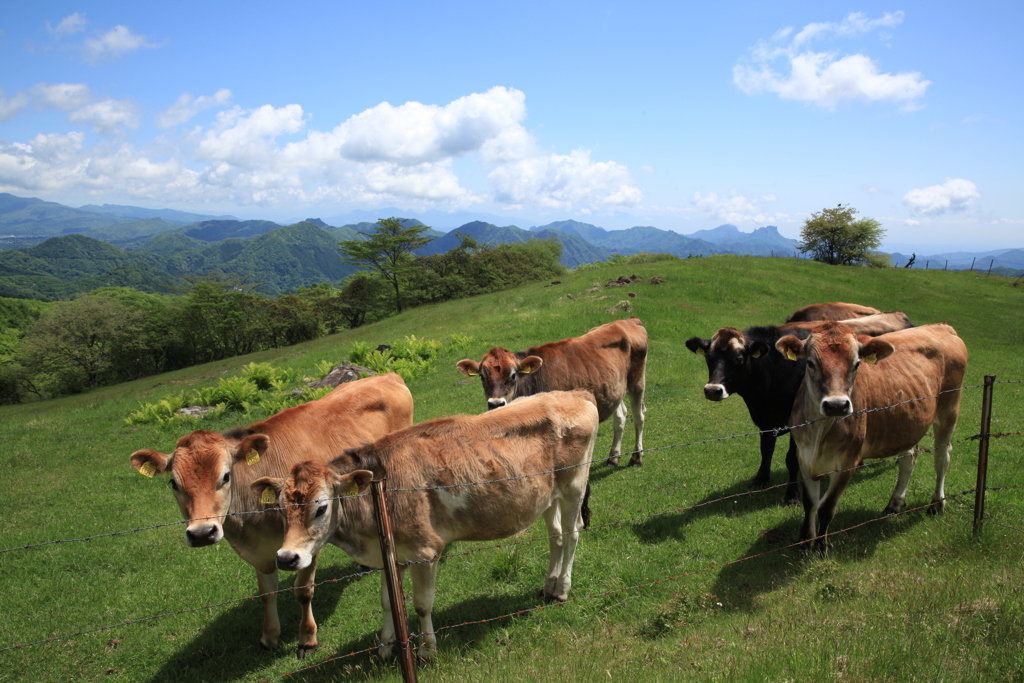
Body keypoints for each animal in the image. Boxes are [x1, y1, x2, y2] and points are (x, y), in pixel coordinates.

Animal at [129, 374, 411, 655]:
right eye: (173, 483)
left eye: (226, 476)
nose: (201, 533)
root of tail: (385, 376)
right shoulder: (261, 549)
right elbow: (266, 592)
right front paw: (269, 636)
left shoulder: (310, 539)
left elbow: (303, 590)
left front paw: (307, 638)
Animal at [250, 389, 598, 663]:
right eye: (281, 509)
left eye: (321, 507)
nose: (286, 557)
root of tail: (575, 393)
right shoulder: (389, 555)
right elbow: (388, 602)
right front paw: (385, 646)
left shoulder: (425, 551)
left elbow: (421, 604)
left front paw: (427, 650)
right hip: (547, 495)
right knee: (556, 536)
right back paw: (549, 585)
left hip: (573, 485)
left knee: (572, 533)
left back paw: (562, 589)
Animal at [458, 317, 647, 466]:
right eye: (482, 376)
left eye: (513, 375)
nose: (495, 403)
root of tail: (628, 320)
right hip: (614, 388)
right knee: (621, 417)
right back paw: (613, 457)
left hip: (637, 382)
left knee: (639, 417)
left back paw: (636, 457)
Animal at [774, 323, 966, 552]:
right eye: (810, 363)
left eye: (857, 364)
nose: (837, 405)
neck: (818, 431)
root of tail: (941, 326)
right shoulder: (804, 457)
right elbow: (810, 503)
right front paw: (804, 541)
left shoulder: (848, 462)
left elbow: (826, 508)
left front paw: (821, 546)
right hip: (908, 422)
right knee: (908, 459)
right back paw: (895, 503)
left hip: (949, 411)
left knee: (942, 459)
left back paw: (937, 503)